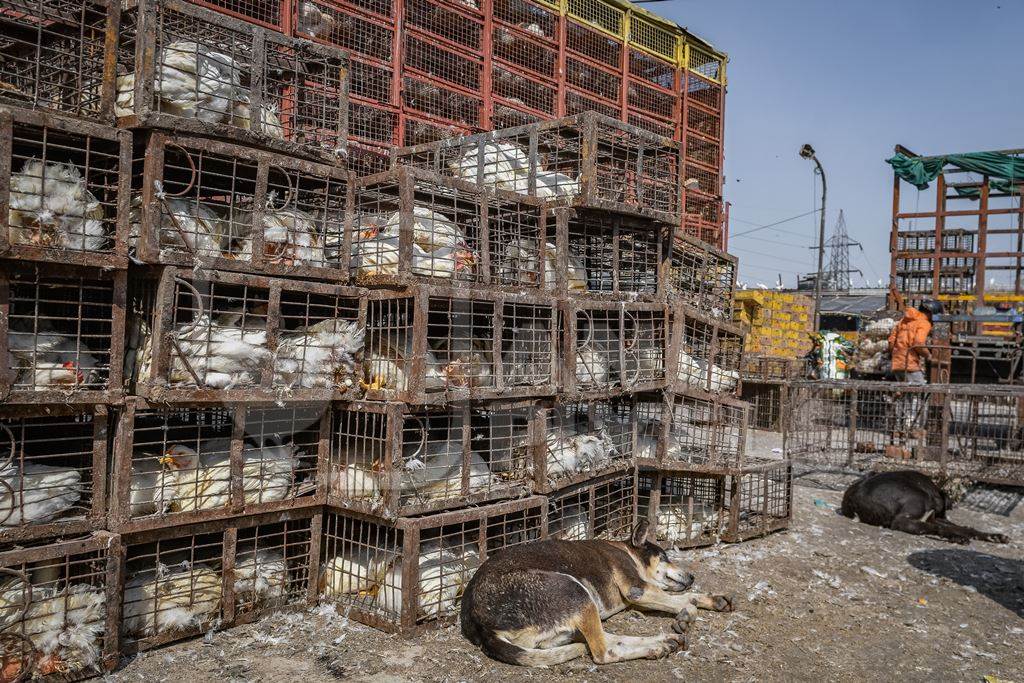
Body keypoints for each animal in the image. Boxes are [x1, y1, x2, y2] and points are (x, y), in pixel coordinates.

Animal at [460, 524, 733, 667]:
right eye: (665, 556)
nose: (692, 576)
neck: (625, 549)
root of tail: (480, 625)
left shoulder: (643, 595)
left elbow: (683, 597)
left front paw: (710, 599)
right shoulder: (637, 589)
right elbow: (682, 601)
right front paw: (687, 613)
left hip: (575, 617)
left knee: (608, 639)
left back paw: (663, 641)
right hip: (574, 591)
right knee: (603, 652)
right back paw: (656, 646)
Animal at [839, 471, 1007, 544]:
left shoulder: (933, 517)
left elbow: (965, 528)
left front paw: (994, 536)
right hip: (916, 499)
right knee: (905, 523)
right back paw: (956, 538)